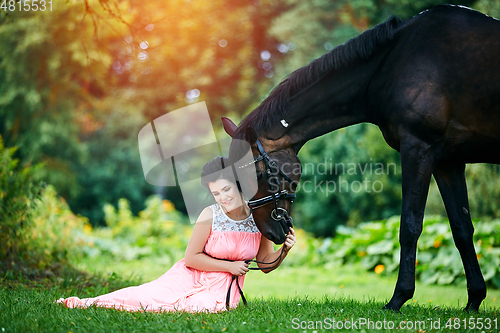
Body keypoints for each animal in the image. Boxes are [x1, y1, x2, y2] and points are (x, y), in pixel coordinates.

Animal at [223, 5, 500, 312]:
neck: (394, 61)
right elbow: (462, 228)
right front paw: (474, 300)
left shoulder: (419, 149)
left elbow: (410, 225)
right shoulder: (447, 162)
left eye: (258, 174)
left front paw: (398, 298)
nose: (270, 232)